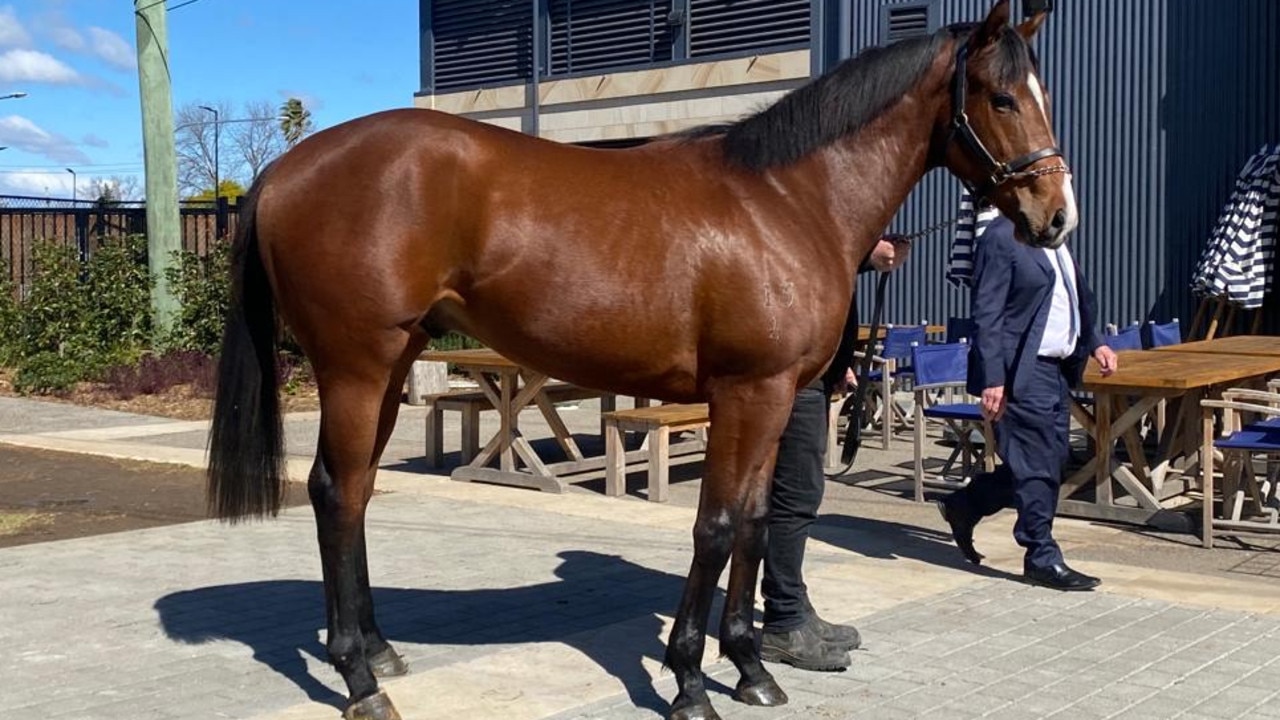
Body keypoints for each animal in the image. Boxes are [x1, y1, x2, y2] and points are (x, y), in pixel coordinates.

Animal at [204, 1, 1075, 717]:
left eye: (1043, 94)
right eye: (1001, 98)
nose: (1055, 216)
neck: (786, 202)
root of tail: (284, 169)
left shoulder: (773, 397)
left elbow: (754, 524)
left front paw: (751, 669)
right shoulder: (749, 393)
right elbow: (716, 527)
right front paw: (691, 684)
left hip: (391, 368)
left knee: (353, 494)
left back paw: (379, 653)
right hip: (356, 367)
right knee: (335, 491)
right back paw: (360, 680)